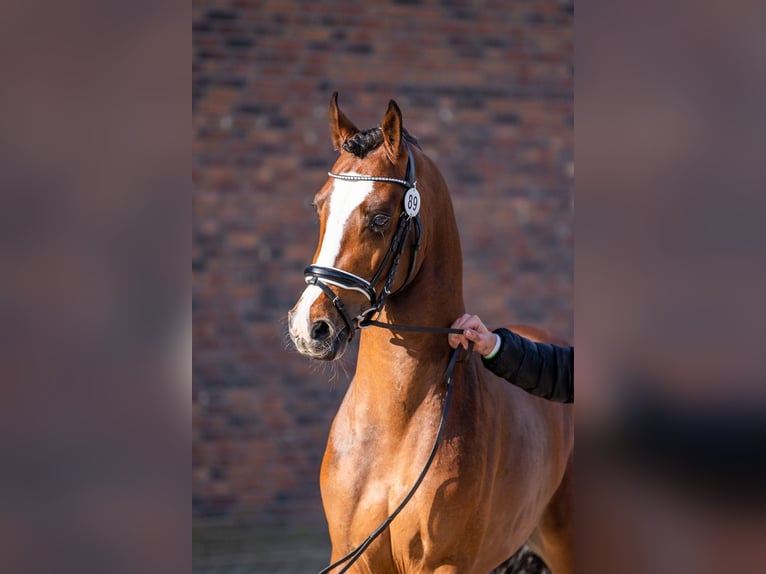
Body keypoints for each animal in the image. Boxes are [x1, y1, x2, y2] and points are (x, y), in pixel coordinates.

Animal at [288, 92, 576, 572]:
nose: (310, 328)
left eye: (381, 218)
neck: (393, 427)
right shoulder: (352, 558)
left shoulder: (443, 563)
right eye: (319, 205)